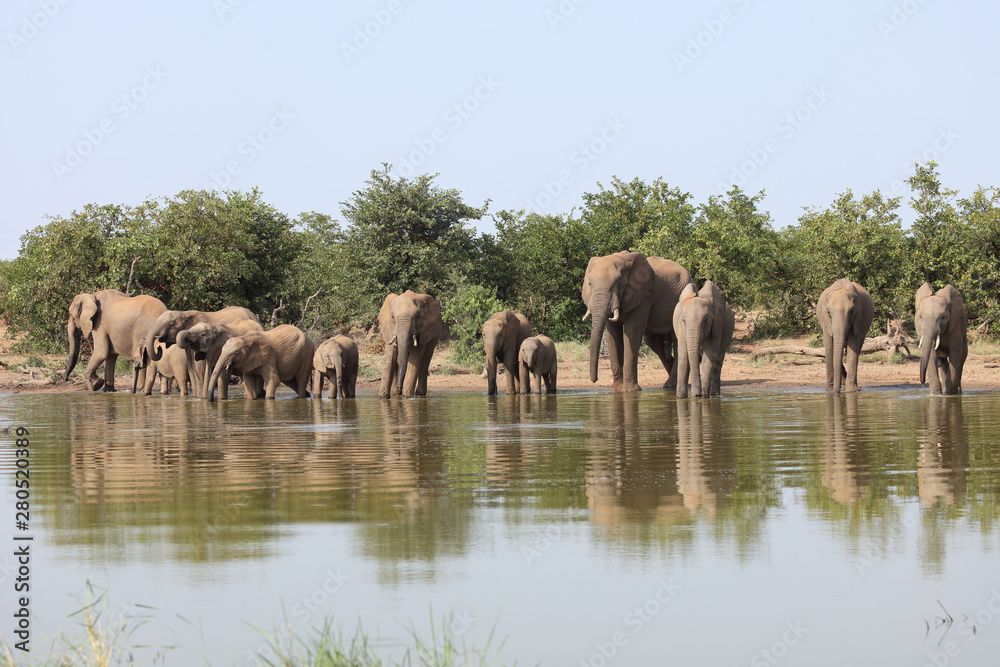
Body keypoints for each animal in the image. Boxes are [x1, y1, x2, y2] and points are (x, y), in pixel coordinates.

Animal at [582, 251, 693, 392]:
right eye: (590, 284)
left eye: (619, 282)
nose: (594, 380)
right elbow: (613, 336)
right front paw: (616, 389)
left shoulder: (644, 296)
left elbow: (632, 333)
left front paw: (629, 390)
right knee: (653, 343)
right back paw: (671, 385)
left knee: (677, 341)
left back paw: (672, 385)